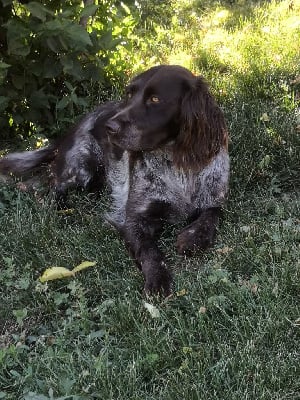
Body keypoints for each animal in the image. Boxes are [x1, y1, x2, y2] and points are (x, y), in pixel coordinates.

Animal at [0, 63, 230, 294]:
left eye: (155, 99)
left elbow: (212, 217)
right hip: (82, 167)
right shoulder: (134, 219)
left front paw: (193, 237)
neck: (176, 164)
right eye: (130, 94)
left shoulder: (214, 198)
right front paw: (157, 279)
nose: (109, 128)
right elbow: (150, 252)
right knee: (48, 187)